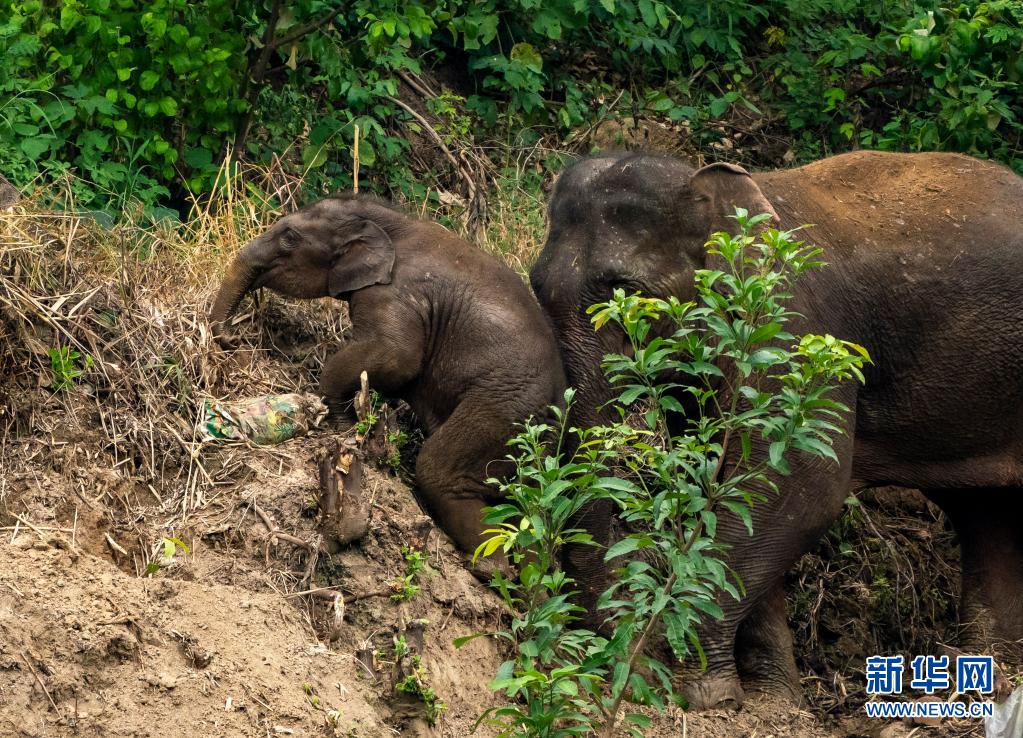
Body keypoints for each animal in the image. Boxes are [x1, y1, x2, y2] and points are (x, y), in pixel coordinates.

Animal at [527, 149, 1023, 708]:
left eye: (627, 293)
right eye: (536, 289)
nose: (610, 648)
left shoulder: (796, 334)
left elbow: (796, 487)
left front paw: (705, 695)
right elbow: (730, 489)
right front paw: (772, 701)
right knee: (988, 513)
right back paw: (991, 675)